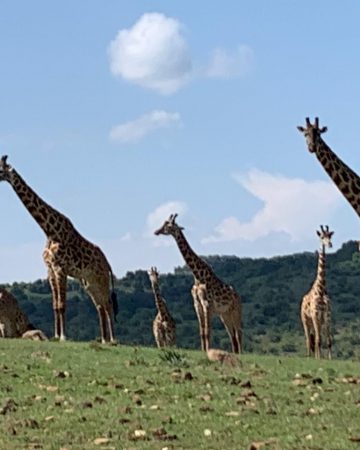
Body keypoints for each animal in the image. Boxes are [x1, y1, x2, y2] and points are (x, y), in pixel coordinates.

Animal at [0, 156, 117, 342]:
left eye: (0, 168)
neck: (50, 231)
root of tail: (108, 265)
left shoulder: (60, 268)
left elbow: (62, 305)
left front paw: (63, 336)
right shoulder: (50, 270)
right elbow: (55, 305)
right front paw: (56, 335)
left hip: (101, 279)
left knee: (108, 304)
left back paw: (113, 339)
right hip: (89, 282)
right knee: (100, 306)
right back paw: (104, 339)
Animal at [153, 213, 243, 354]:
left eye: (168, 225)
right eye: (164, 223)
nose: (156, 231)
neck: (197, 275)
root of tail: (238, 296)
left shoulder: (207, 304)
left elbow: (208, 331)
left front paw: (208, 351)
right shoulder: (197, 305)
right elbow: (202, 332)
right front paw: (203, 350)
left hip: (236, 311)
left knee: (239, 333)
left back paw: (242, 353)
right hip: (225, 315)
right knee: (232, 335)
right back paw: (235, 353)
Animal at [300, 225, 334, 358]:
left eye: (330, 236)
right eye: (322, 237)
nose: (330, 244)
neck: (321, 289)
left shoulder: (327, 317)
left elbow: (328, 341)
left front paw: (329, 359)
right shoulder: (315, 316)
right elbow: (318, 340)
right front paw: (319, 359)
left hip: (316, 321)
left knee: (313, 338)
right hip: (305, 320)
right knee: (308, 339)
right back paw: (309, 356)